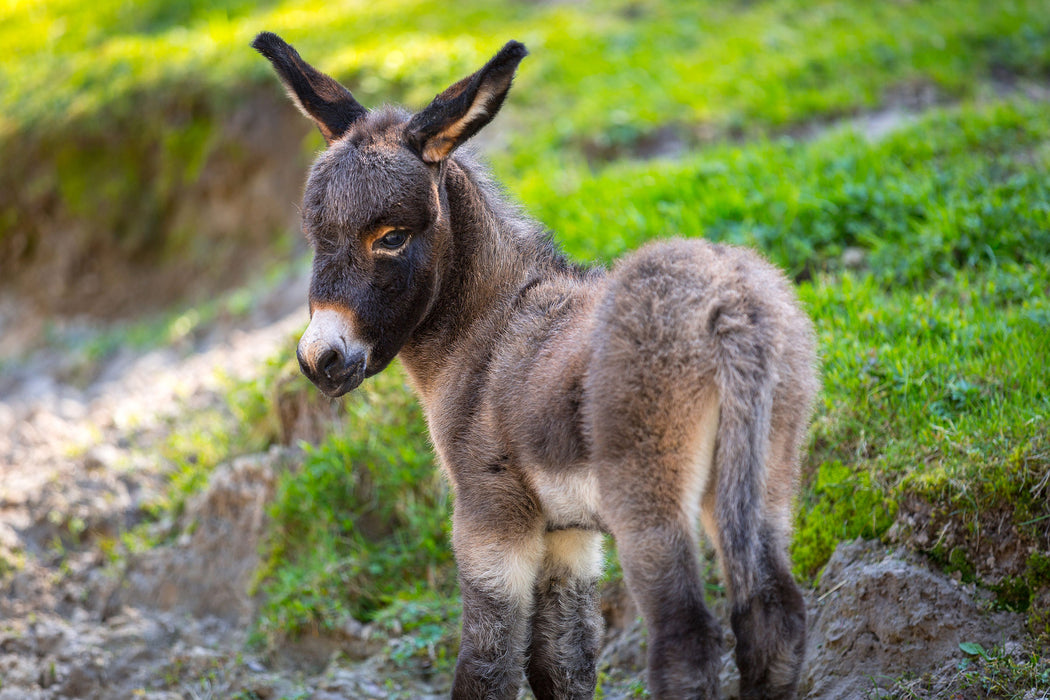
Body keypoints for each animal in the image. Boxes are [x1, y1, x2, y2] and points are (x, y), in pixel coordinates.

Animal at [254, 34, 818, 700]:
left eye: (391, 237)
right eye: (315, 235)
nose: (322, 359)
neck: (488, 328)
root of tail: (731, 308)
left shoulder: (489, 515)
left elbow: (488, 665)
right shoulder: (569, 534)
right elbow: (561, 662)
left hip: (650, 499)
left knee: (685, 638)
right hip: (763, 477)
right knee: (774, 616)